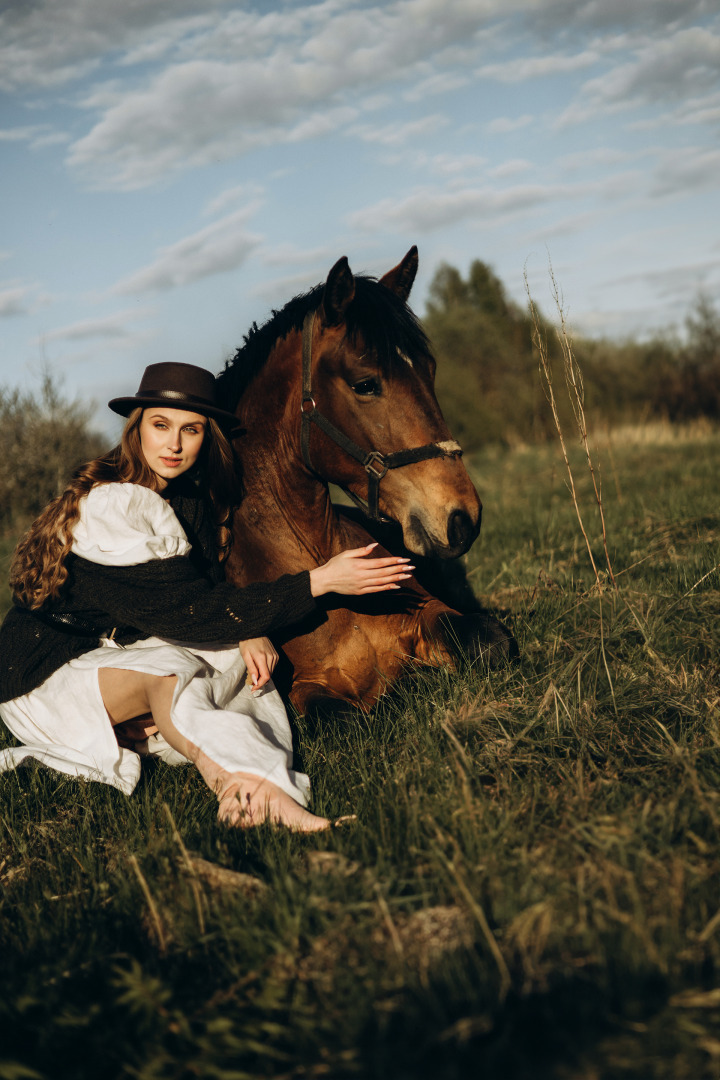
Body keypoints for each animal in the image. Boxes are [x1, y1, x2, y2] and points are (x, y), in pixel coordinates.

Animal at [216, 247, 515, 712]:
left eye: (429, 370)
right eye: (365, 384)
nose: (463, 518)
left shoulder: (431, 612)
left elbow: (489, 640)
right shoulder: (304, 694)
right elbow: (360, 708)